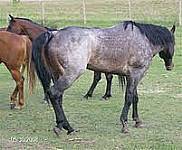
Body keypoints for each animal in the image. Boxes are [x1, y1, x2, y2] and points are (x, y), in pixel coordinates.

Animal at [29, 20, 175, 134]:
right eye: (173, 43)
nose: (170, 66)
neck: (143, 39)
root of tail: (54, 34)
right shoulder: (136, 74)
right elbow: (129, 98)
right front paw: (124, 124)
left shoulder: (132, 76)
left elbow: (135, 97)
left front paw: (137, 121)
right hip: (70, 75)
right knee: (54, 93)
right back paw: (66, 127)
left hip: (58, 75)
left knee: (58, 97)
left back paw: (63, 126)